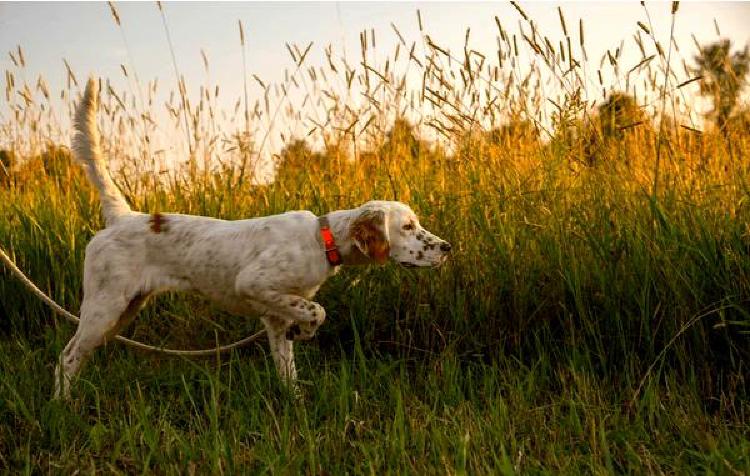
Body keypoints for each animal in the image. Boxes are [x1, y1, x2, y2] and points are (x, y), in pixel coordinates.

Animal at [54, 78, 452, 398]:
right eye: (408, 227)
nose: (447, 248)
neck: (320, 240)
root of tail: (123, 217)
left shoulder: (275, 318)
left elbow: (288, 369)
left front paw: (296, 403)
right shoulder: (254, 283)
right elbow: (318, 310)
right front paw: (306, 330)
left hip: (122, 311)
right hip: (104, 306)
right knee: (66, 357)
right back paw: (63, 406)